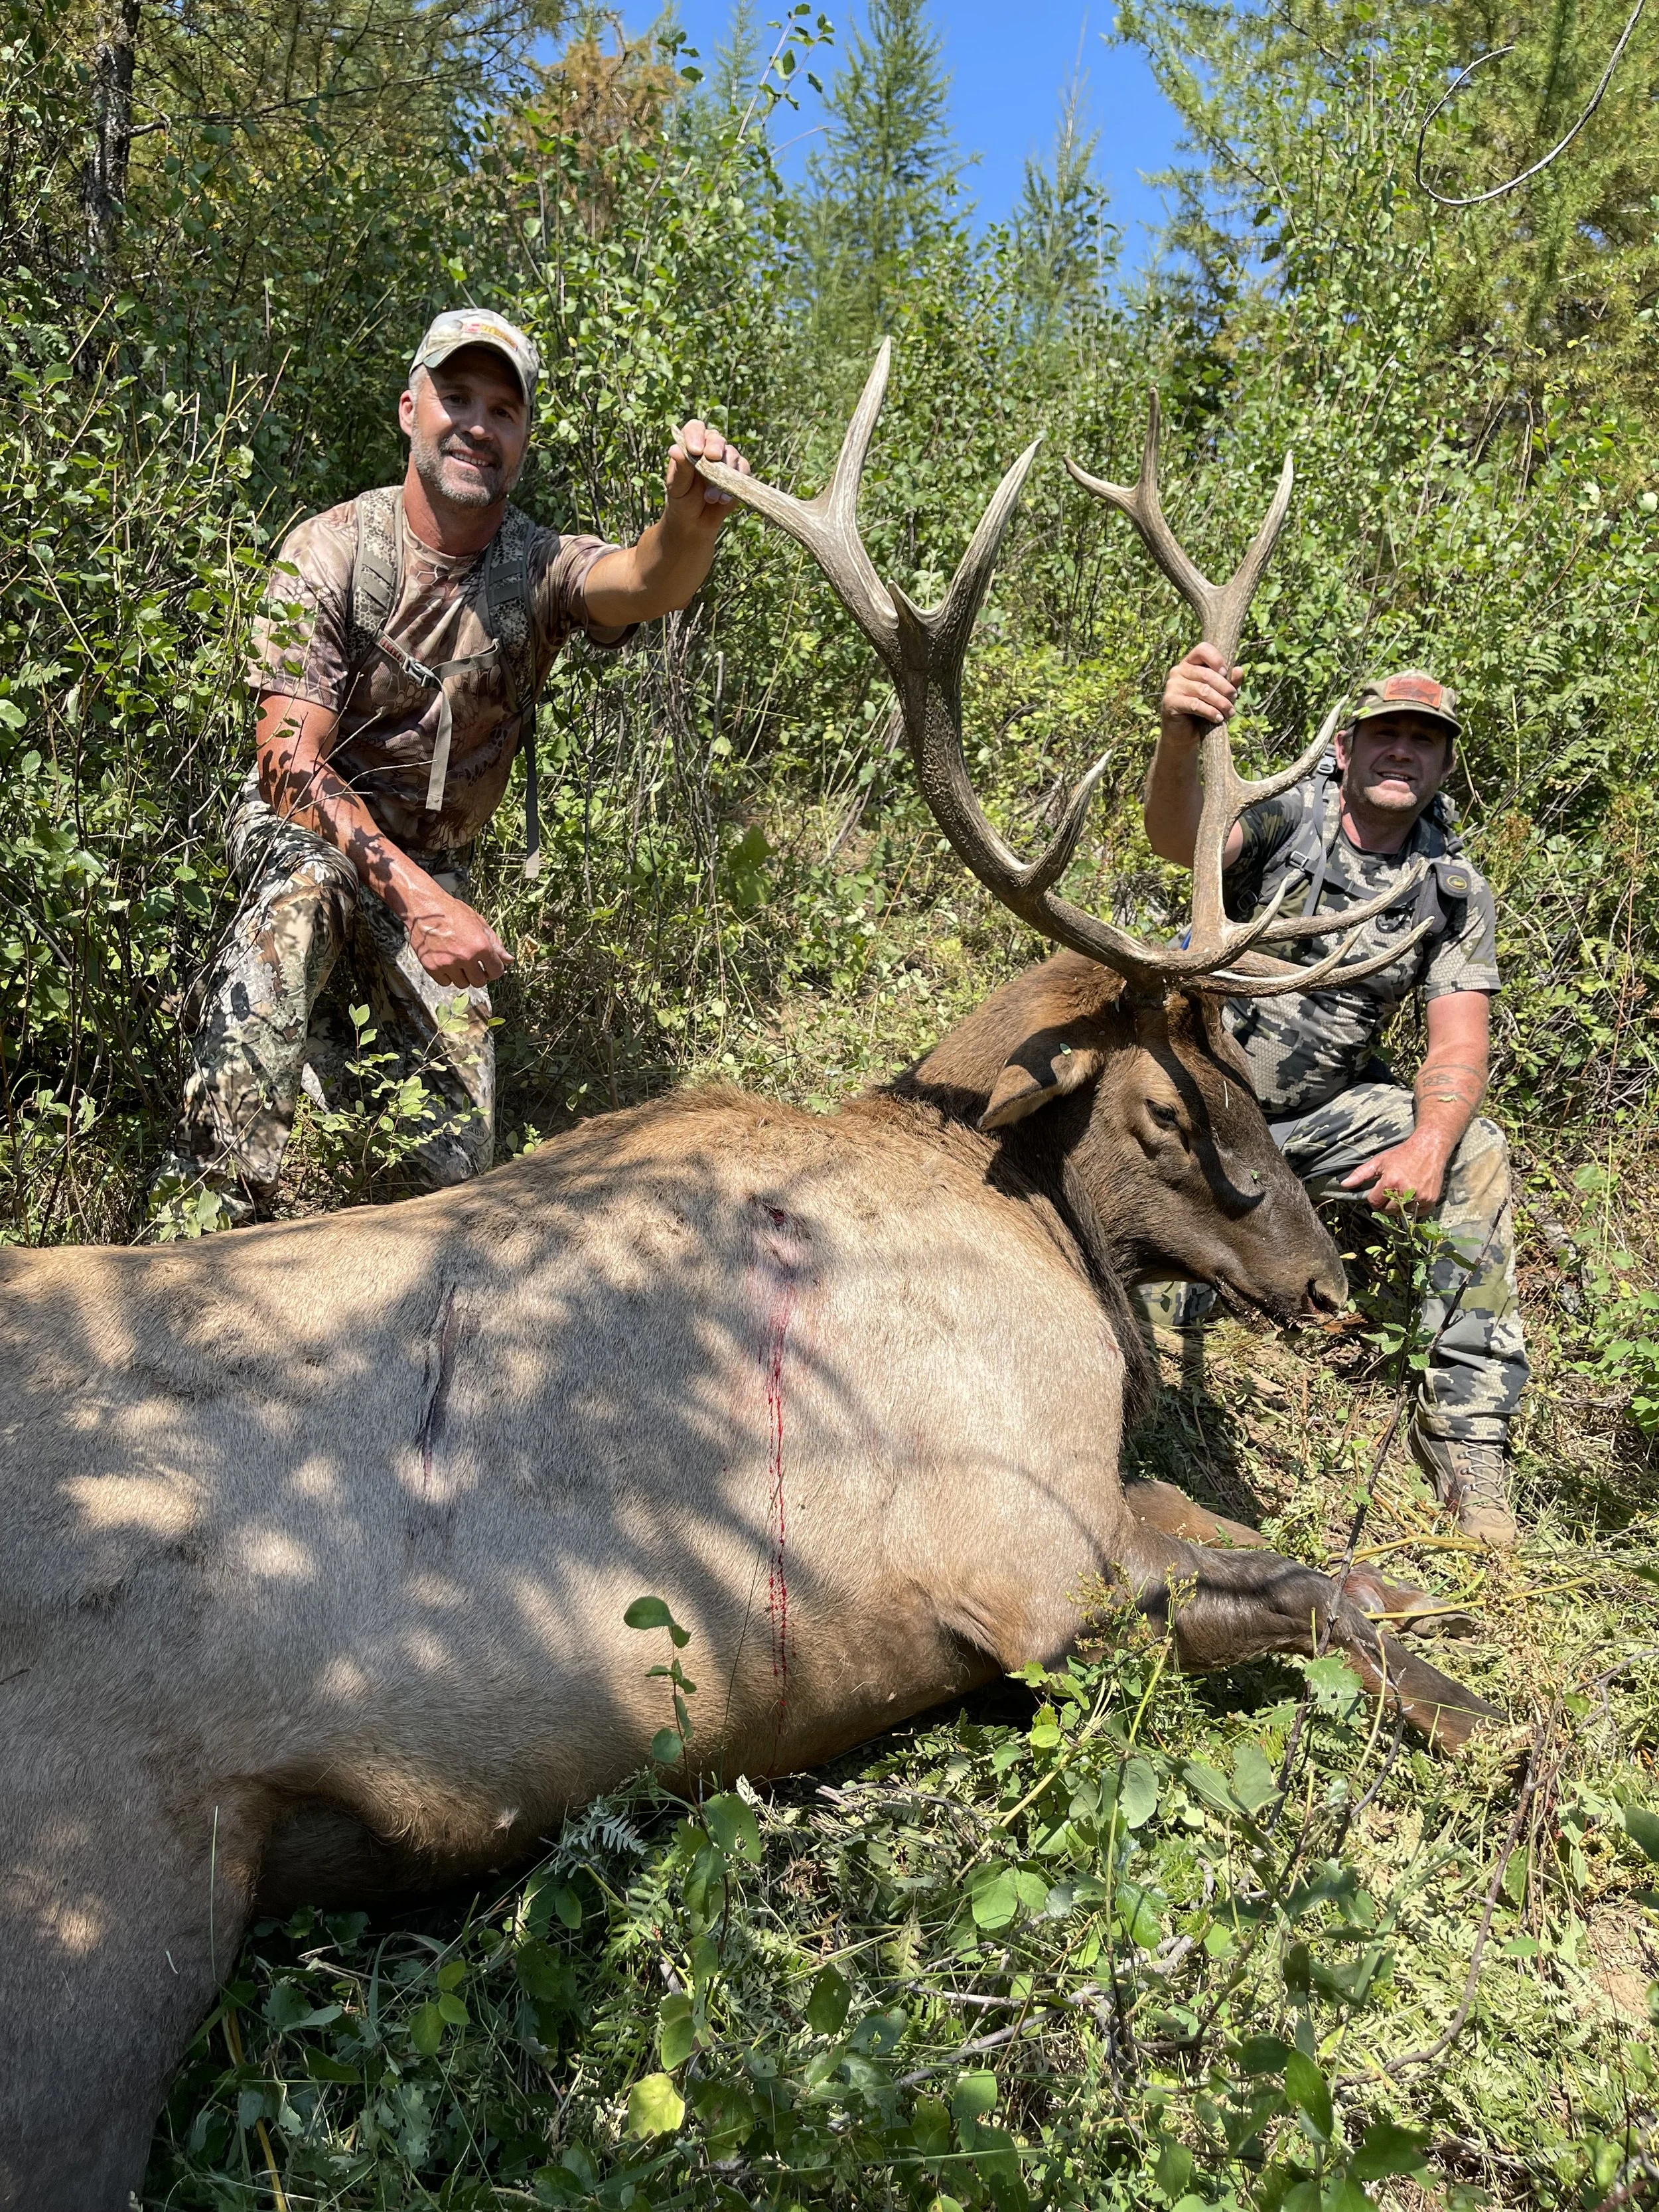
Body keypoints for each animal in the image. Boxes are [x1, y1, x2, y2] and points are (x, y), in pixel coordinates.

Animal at [0, 347, 1497, 2211]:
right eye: (1171, 1104)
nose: (1321, 1289)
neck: (1025, 1219)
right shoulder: (1012, 1570)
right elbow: (1296, 1593)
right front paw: (1483, 1722)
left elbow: (1317, 1569)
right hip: (101, 1924)